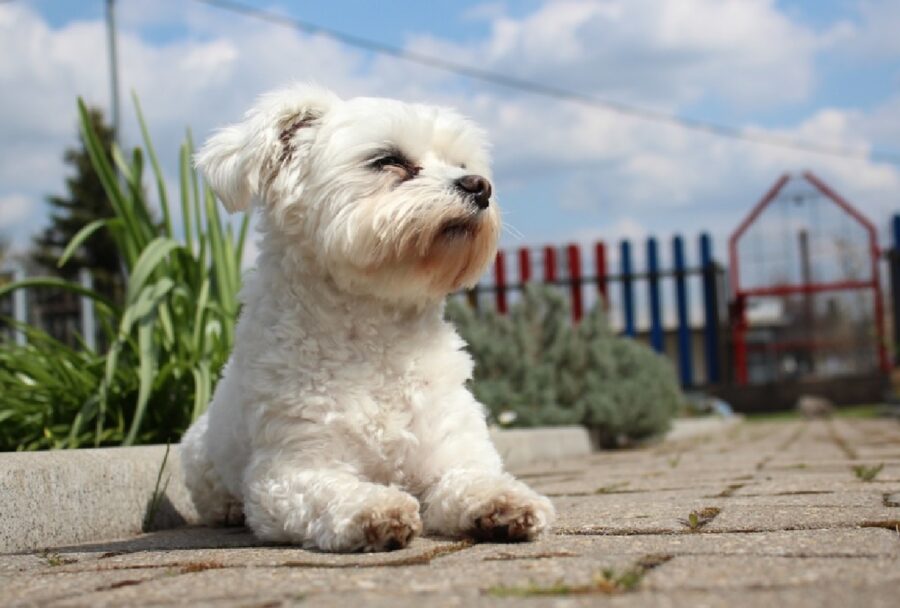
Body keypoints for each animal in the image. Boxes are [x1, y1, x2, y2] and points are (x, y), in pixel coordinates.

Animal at [179, 83, 552, 552]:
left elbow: (471, 478)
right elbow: (332, 491)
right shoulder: (290, 472)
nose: (479, 186)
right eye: (388, 160)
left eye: (463, 165)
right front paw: (375, 508)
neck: (379, 336)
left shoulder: (451, 449)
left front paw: (503, 501)